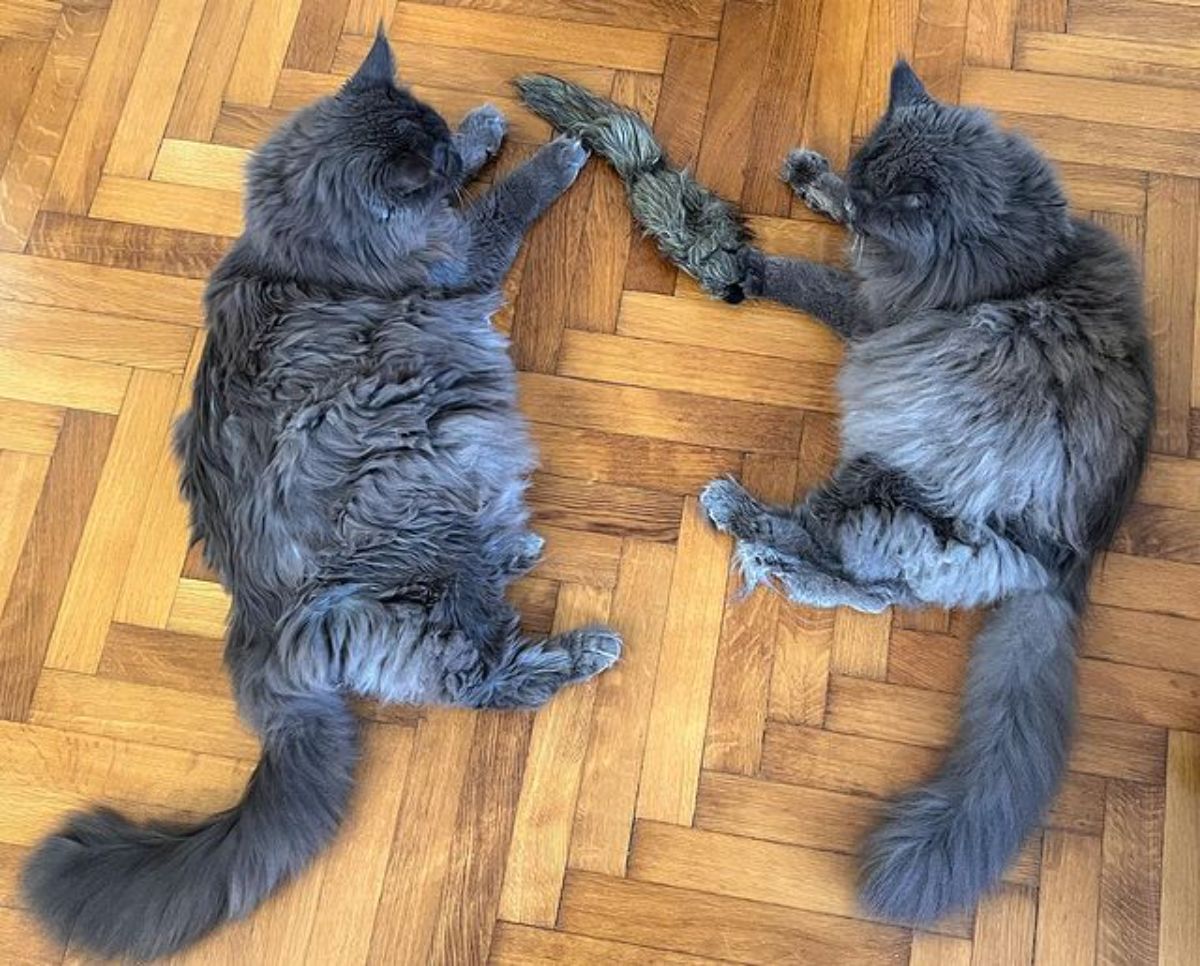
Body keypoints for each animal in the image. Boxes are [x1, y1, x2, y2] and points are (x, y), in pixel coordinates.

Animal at [24, 32, 624, 955]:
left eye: (434, 129)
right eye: (427, 163)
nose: (447, 146)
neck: (299, 244)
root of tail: (257, 639)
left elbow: (476, 176)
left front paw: (484, 129)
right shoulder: (459, 256)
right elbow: (501, 205)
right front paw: (548, 155)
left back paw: (519, 548)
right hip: (425, 530)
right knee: (484, 678)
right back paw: (580, 650)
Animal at [700, 60, 1156, 921]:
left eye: (884, 205)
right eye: (864, 173)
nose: (860, 206)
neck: (1020, 249)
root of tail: (1070, 567)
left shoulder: (875, 311)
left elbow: (813, 277)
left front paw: (748, 263)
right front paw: (816, 179)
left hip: (884, 475)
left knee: (829, 545)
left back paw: (738, 514)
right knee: (873, 591)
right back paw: (788, 573)